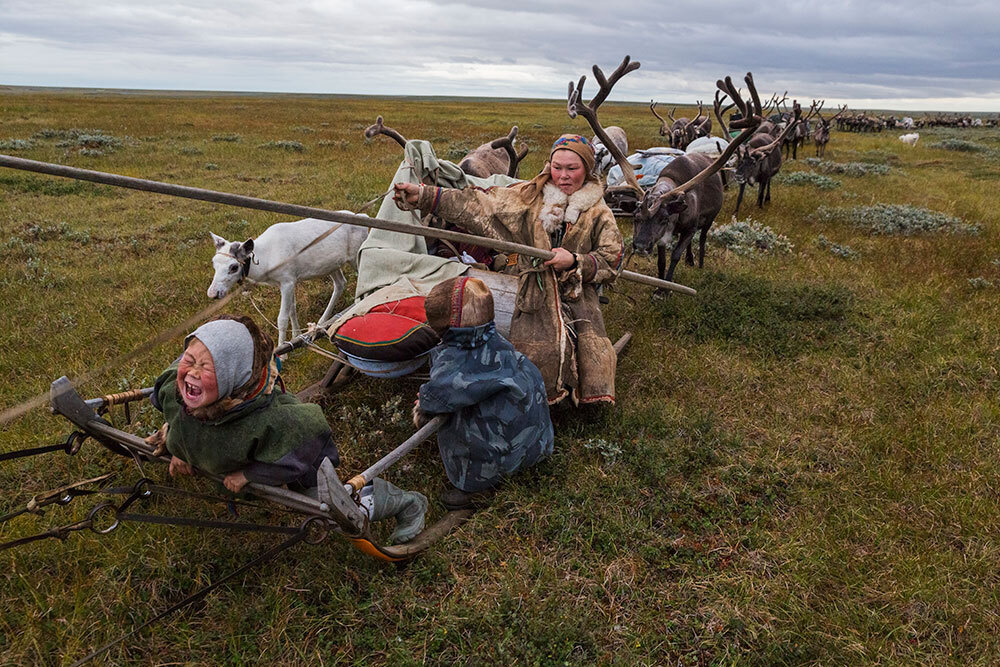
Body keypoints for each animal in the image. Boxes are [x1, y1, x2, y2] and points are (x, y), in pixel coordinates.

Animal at [207, 218, 368, 348]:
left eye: (234, 267)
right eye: (213, 262)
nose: (213, 293)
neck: (265, 263)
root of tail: (365, 219)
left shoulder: (287, 280)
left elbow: (282, 318)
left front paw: (282, 351)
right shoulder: (288, 281)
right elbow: (292, 309)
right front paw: (296, 335)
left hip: (356, 256)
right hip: (332, 265)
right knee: (340, 283)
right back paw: (322, 321)